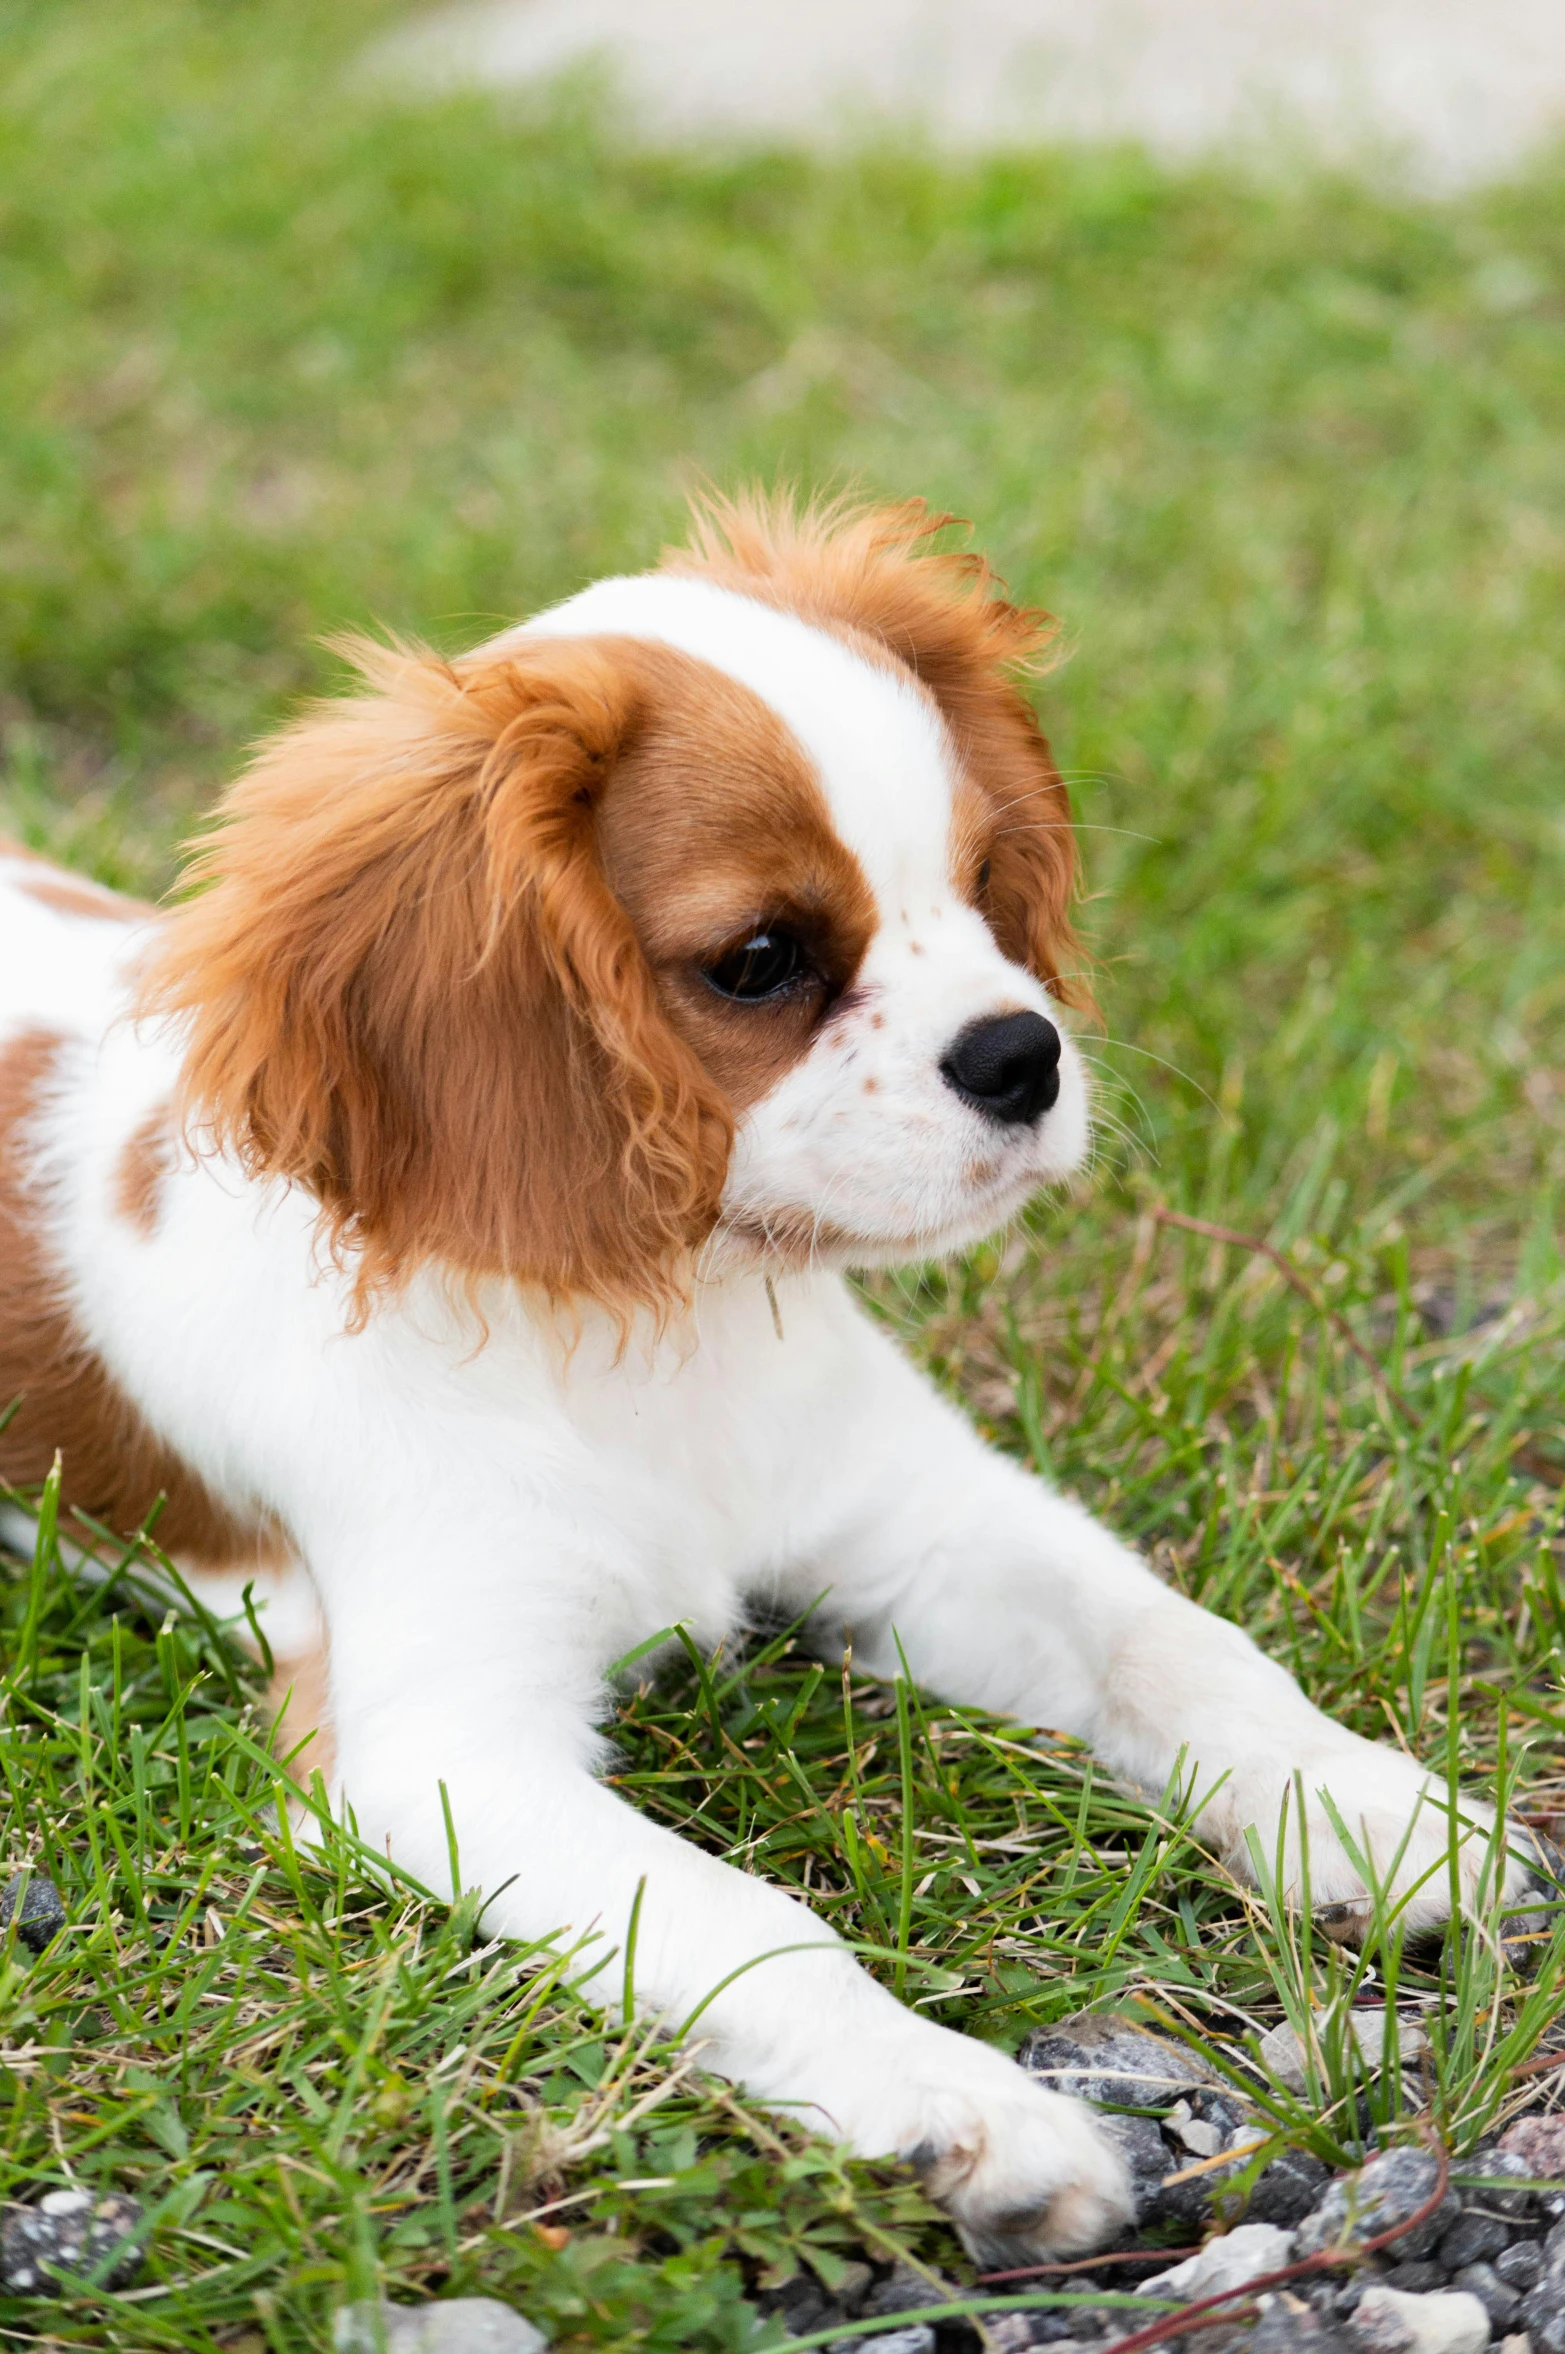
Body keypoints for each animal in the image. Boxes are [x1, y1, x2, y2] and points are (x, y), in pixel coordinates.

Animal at [0, 496, 1534, 2259]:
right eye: (756, 959)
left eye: (985, 888)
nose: (1023, 1052)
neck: (664, 1331)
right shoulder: (445, 1750)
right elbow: (741, 1912)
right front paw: (962, 2108)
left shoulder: (929, 1522)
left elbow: (1176, 1644)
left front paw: (1374, 1810)